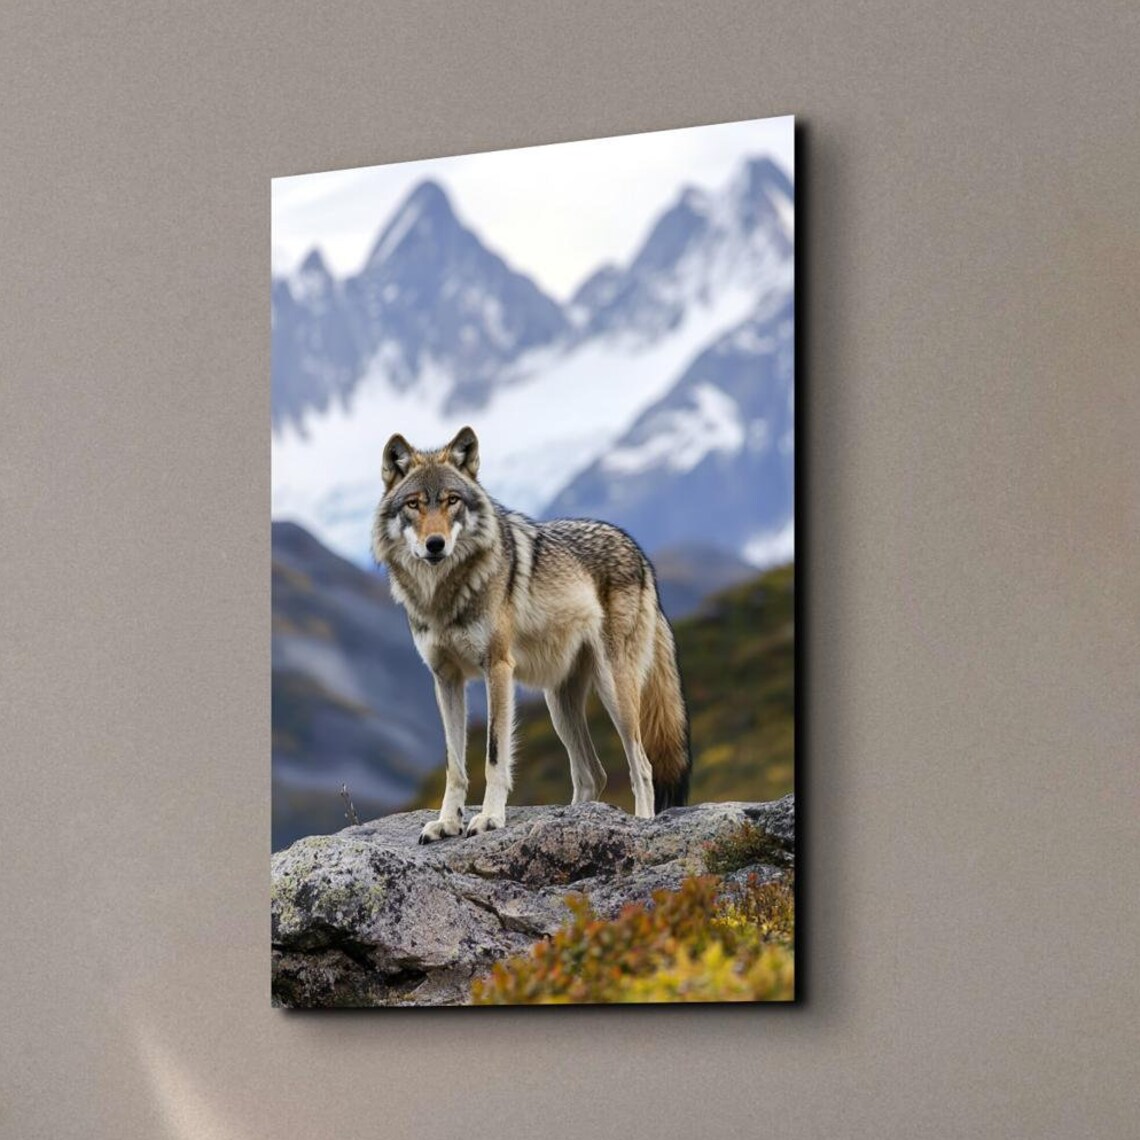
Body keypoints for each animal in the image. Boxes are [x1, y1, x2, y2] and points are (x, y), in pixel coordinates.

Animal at [371, 426, 691, 843]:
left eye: (452, 501)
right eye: (414, 505)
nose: (435, 544)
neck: (443, 594)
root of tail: (640, 553)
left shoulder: (497, 668)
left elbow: (494, 756)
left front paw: (489, 818)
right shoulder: (445, 679)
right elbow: (455, 765)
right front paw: (447, 822)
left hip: (614, 691)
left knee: (643, 765)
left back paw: (641, 824)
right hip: (559, 705)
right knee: (593, 773)